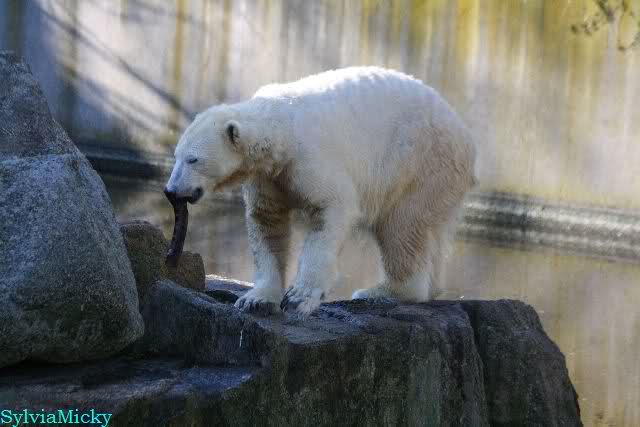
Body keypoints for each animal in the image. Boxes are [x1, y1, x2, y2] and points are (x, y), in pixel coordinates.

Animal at [165, 66, 477, 316]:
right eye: (176, 155)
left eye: (193, 159)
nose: (171, 190)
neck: (280, 128)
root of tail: (466, 136)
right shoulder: (267, 178)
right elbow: (267, 224)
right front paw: (256, 299)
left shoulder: (310, 159)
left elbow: (331, 209)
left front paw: (299, 298)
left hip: (419, 163)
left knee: (402, 228)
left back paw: (380, 291)